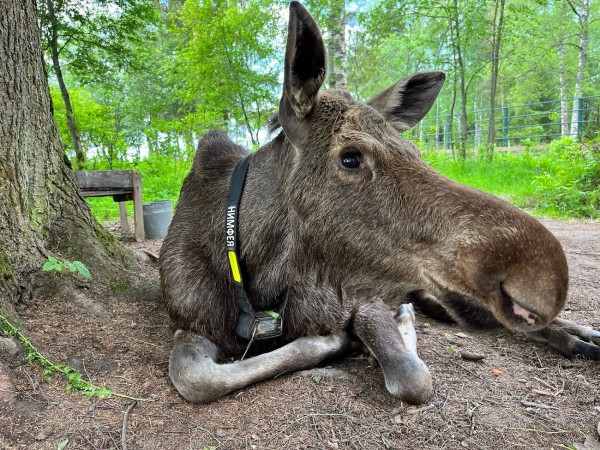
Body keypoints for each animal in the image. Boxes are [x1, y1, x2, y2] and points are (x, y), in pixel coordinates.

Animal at [161, 0, 600, 404]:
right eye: (350, 158)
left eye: (416, 151)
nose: (546, 278)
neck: (259, 278)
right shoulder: (190, 323)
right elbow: (196, 378)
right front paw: (335, 342)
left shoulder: (359, 299)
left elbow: (412, 377)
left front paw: (369, 335)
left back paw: (583, 335)